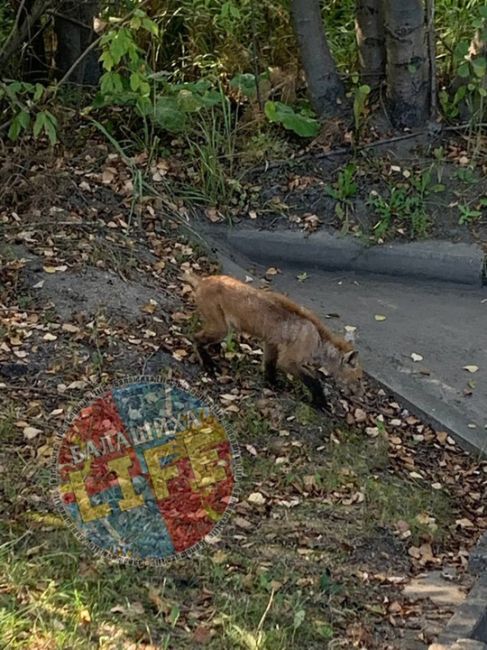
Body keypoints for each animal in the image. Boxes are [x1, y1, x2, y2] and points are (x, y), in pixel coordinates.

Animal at [185, 270, 364, 408]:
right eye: (359, 378)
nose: (360, 396)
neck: (318, 340)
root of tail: (204, 279)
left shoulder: (271, 343)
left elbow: (270, 366)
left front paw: (272, 384)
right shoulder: (289, 361)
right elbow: (314, 380)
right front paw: (320, 403)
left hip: (223, 328)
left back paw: (214, 350)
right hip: (221, 329)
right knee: (195, 338)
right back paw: (208, 363)